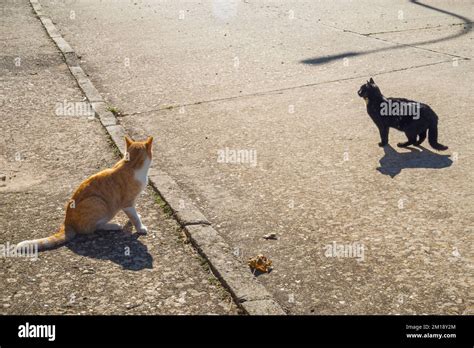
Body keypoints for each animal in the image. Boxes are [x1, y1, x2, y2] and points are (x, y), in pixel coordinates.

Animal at [16, 135, 154, 251]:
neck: (131, 163)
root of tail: (67, 222)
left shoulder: (131, 202)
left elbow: (133, 215)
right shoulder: (127, 203)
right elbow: (134, 217)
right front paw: (140, 227)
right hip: (98, 202)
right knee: (93, 228)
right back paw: (114, 225)